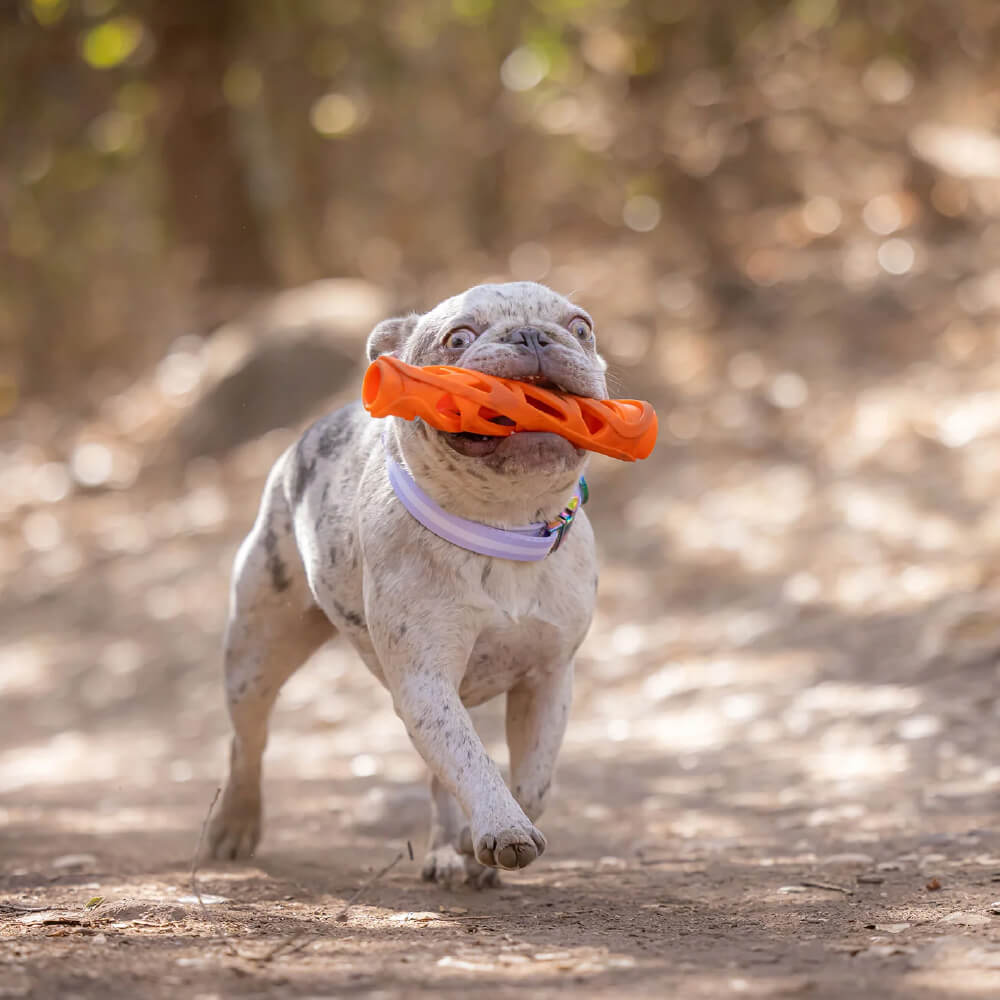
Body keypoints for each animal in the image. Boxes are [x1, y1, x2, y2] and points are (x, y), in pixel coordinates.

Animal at [207, 280, 604, 884]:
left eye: (581, 327)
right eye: (457, 338)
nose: (532, 335)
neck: (503, 524)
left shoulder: (548, 678)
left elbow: (534, 779)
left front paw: (484, 836)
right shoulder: (425, 682)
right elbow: (470, 759)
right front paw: (503, 828)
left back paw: (449, 851)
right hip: (256, 655)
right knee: (246, 741)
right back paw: (235, 824)